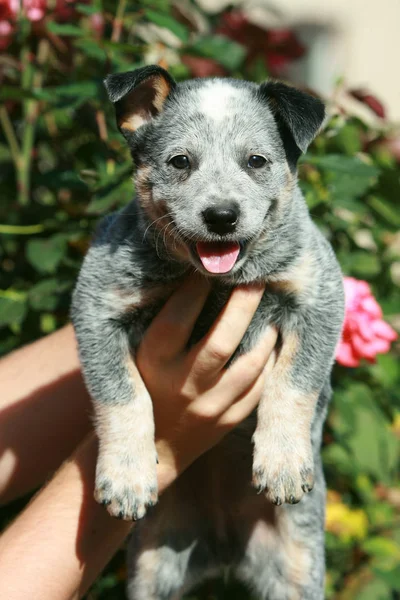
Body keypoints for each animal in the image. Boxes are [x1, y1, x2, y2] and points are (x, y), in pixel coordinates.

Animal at [71, 67, 344, 600]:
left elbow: (292, 385)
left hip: (298, 567)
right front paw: (127, 475)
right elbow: (124, 395)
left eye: (256, 160)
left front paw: (282, 462)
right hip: (152, 566)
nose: (221, 215)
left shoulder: (319, 294)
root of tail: (223, 547)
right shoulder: (97, 304)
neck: (218, 284)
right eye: (180, 162)